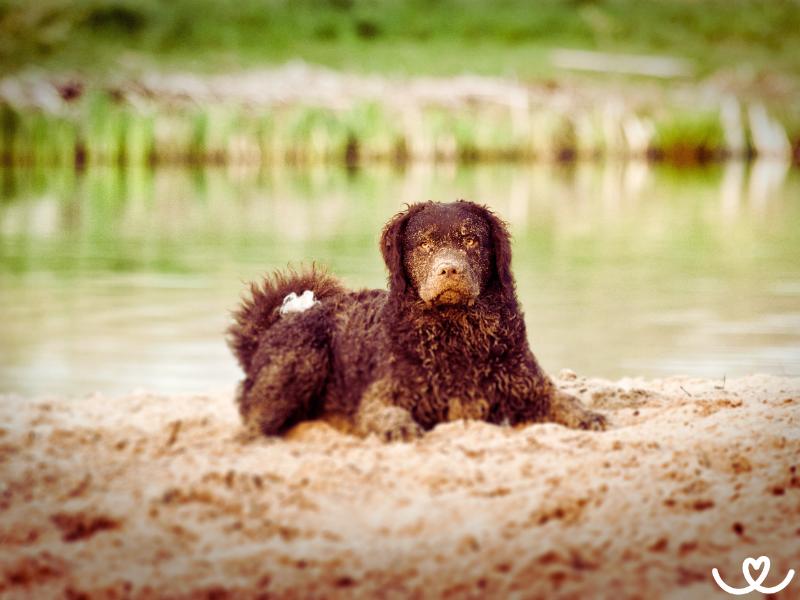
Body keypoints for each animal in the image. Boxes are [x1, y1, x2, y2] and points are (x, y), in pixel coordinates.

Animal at [228, 199, 604, 438]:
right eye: (424, 244)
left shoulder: (529, 386)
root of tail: (279, 322)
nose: (449, 269)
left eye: (471, 240)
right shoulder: (382, 395)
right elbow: (385, 412)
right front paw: (397, 426)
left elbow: (564, 400)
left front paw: (587, 415)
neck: (456, 337)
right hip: (302, 360)